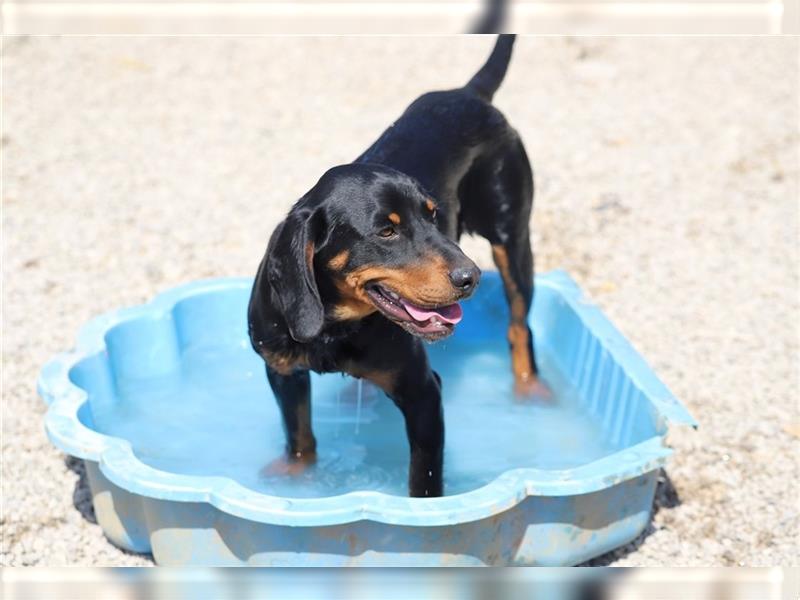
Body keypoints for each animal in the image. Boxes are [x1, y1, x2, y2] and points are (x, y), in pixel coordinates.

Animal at [248, 35, 544, 500]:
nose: (471, 278)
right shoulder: (282, 371)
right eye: (386, 232)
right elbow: (300, 438)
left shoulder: (423, 395)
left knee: (519, 326)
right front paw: (299, 478)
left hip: (511, 236)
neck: (335, 326)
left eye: (434, 216)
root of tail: (468, 94)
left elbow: (424, 479)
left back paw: (530, 391)